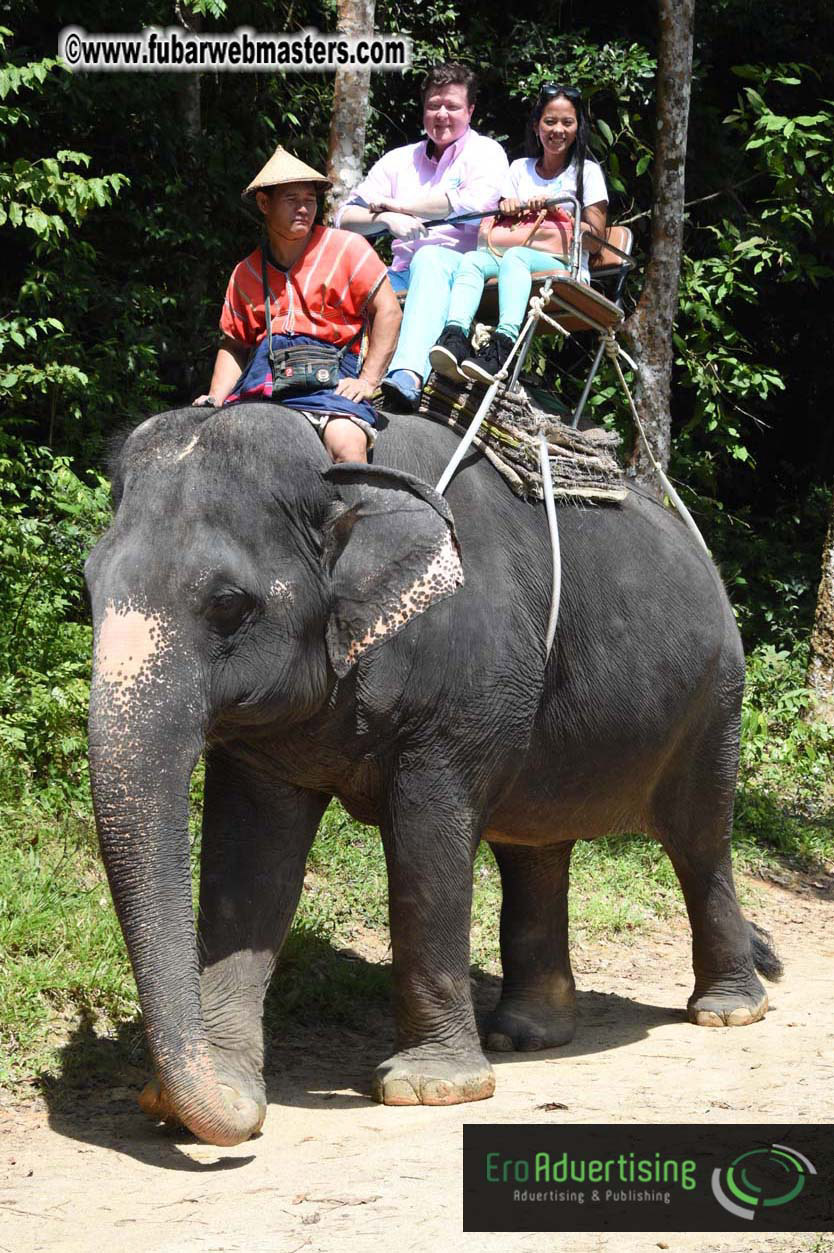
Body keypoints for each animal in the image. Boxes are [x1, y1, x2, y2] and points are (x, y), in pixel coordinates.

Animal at [85, 401, 782, 1148]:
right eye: (90, 584)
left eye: (228, 604)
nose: (226, 1117)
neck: (340, 476)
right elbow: (251, 863)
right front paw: (221, 1095)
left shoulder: (462, 696)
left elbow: (427, 841)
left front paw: (430, 1089)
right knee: (536, 846)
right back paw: (527, 1035)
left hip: (717, 697)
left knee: (700, 840)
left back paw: (726, 1010)